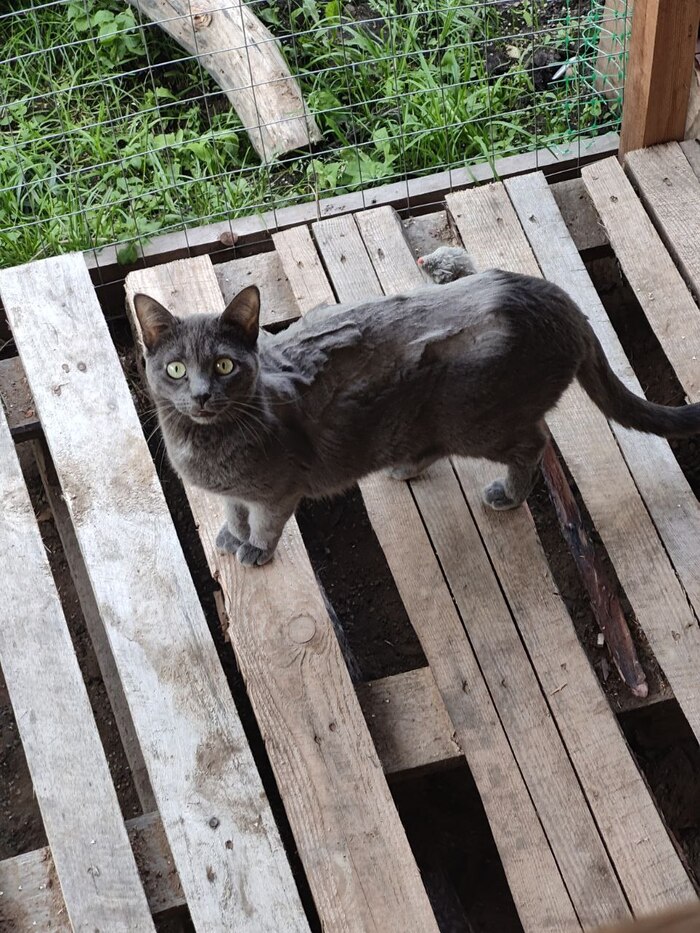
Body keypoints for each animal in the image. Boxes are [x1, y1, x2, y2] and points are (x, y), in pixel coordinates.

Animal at [133, 247, 700, 566]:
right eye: (177, 370)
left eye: (225, 366)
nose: (201, 395)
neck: (203, 447)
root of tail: (560, 300)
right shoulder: (230, 491)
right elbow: (233, 510)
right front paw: (232, 536)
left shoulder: (279, 491)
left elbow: (267, 521)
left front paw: (255, 549)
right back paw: (404, 467)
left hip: (477, 420)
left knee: (534, 442)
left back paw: (507, 494)